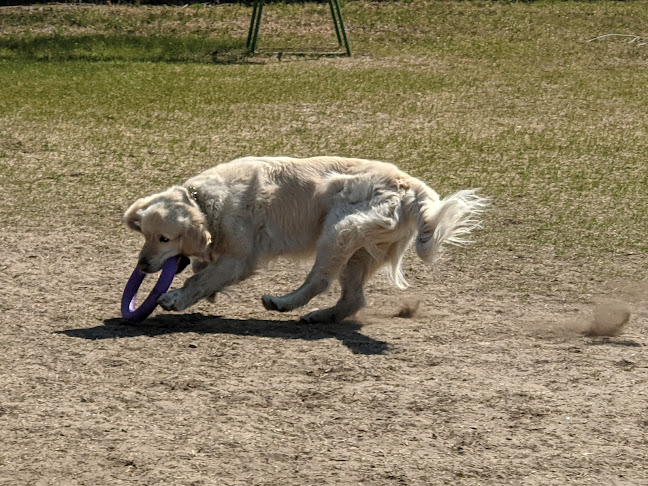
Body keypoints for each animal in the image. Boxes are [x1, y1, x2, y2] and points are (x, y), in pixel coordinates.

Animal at [123, 157, 486, 322]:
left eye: (165, 238)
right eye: (145, 235)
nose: (142, 266)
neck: (204, 203)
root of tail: (412, 187)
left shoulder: (239, 260)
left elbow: (199, 279)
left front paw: (175, 298)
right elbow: (204, 272)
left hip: (340, 229)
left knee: (320, 280)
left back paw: (283, 302)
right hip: (358, 250)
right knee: (354, 299)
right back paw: (320, 316)